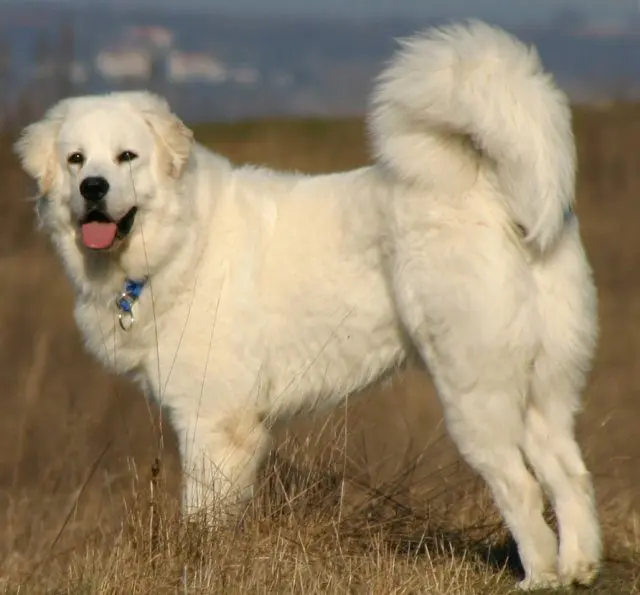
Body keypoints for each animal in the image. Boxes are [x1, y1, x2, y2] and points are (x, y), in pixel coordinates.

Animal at [17, 22, 604, 592]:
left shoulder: (213, 419)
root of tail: (489, 185)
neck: (182, 241)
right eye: (75, 159)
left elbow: (203, 515)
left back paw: (540, 576)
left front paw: (199, 566)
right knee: (569, 472)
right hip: (541, 387)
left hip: (475, 391)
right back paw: (579, 567)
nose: (93, 187)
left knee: (522, 486)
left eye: (127, 157)